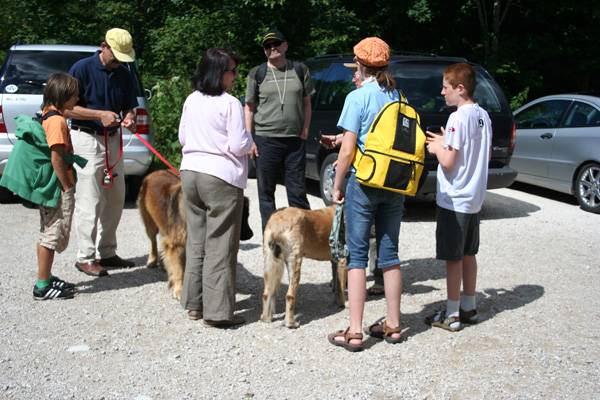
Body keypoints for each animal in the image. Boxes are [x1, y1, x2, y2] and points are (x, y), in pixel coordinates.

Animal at [138, 170, 253, 300]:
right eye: (241, 218)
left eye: (247, 216)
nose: (251, 234)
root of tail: (155, 172)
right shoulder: (176, 244)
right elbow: (178, 268)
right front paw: (179, 289)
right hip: (150, 224)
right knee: (153, 241)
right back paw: (152, 260)